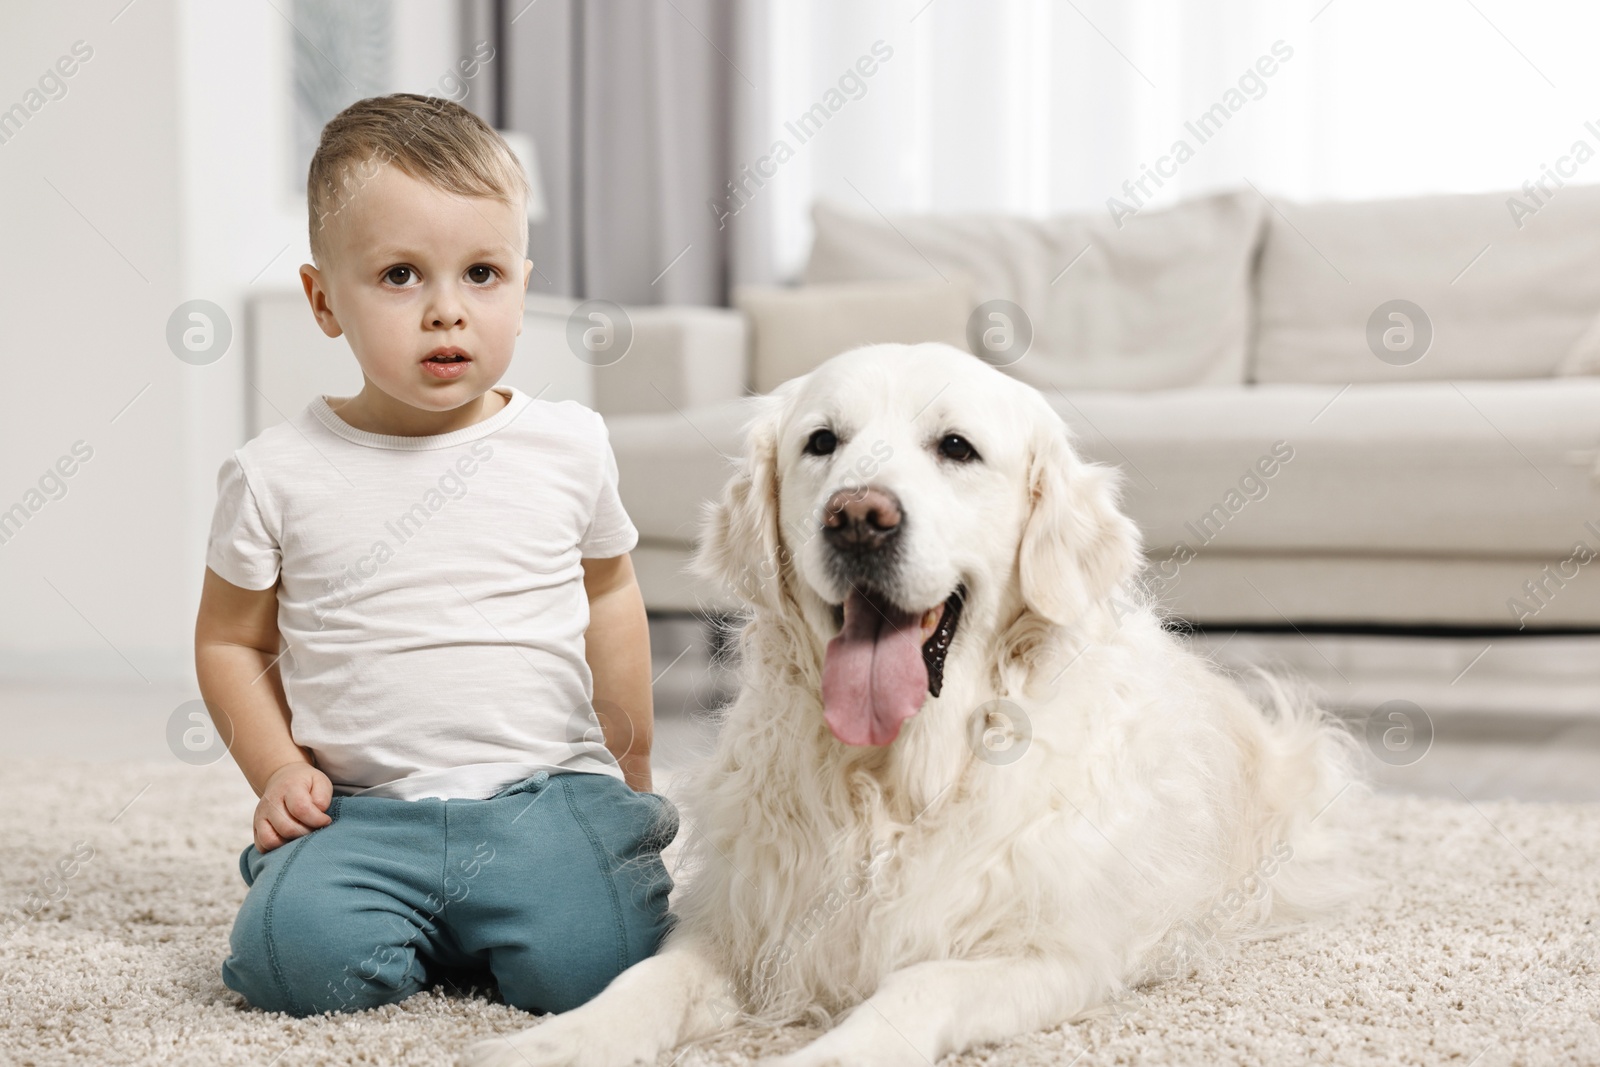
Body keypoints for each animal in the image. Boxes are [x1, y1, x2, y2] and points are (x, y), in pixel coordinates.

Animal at [464, 343, 1363, 1067]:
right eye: (821, 442)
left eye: (956, 447)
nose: (858, 517)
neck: (895, 777)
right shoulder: (743, 921)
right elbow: (646, 982)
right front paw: (549, 1041)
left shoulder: (1052, 952)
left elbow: (920, 985)